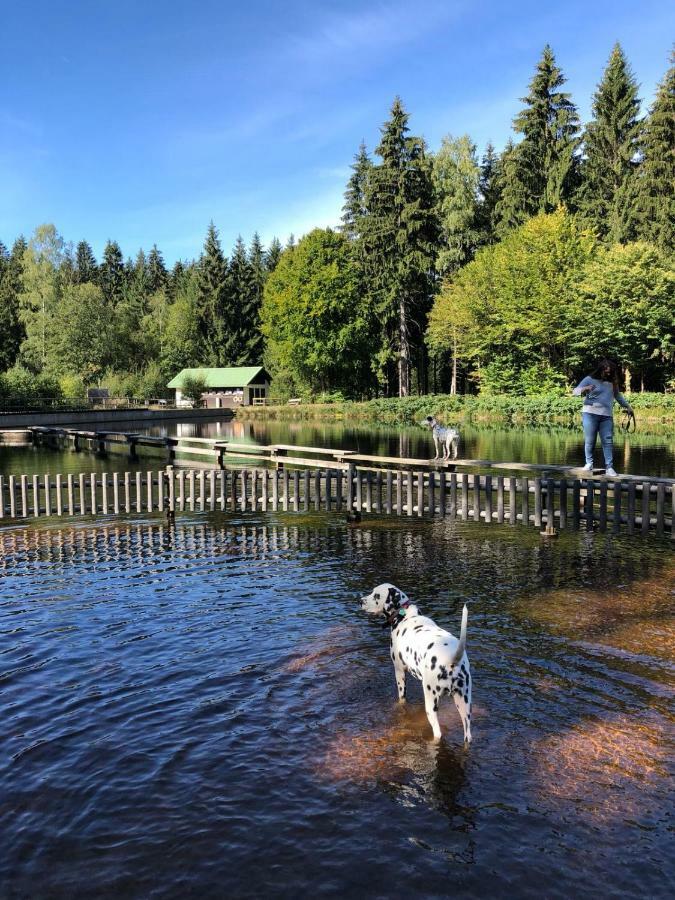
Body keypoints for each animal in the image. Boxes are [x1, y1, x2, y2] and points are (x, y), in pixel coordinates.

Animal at [362, 580, 472, 740]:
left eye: (376, 595)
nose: (360, 601)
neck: (404, 616)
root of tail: (452, 659)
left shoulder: (399, 672)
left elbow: (402, 699)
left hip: (432, 705)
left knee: (438, 733)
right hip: (464, 705)